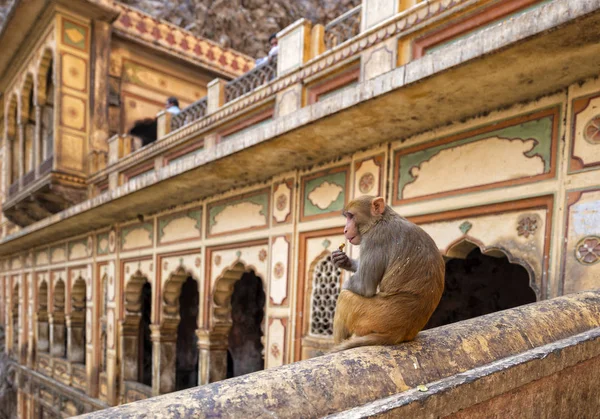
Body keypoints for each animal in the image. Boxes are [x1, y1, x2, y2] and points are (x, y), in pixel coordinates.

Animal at [330, 196, 442, 352]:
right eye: (347, 217)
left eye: (351, 216)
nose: (345, 230)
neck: (381, 219)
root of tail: (399, 333)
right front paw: (343, 260)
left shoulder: (376, 238)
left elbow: (364, 286)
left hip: (372, 319)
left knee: (345, 297)